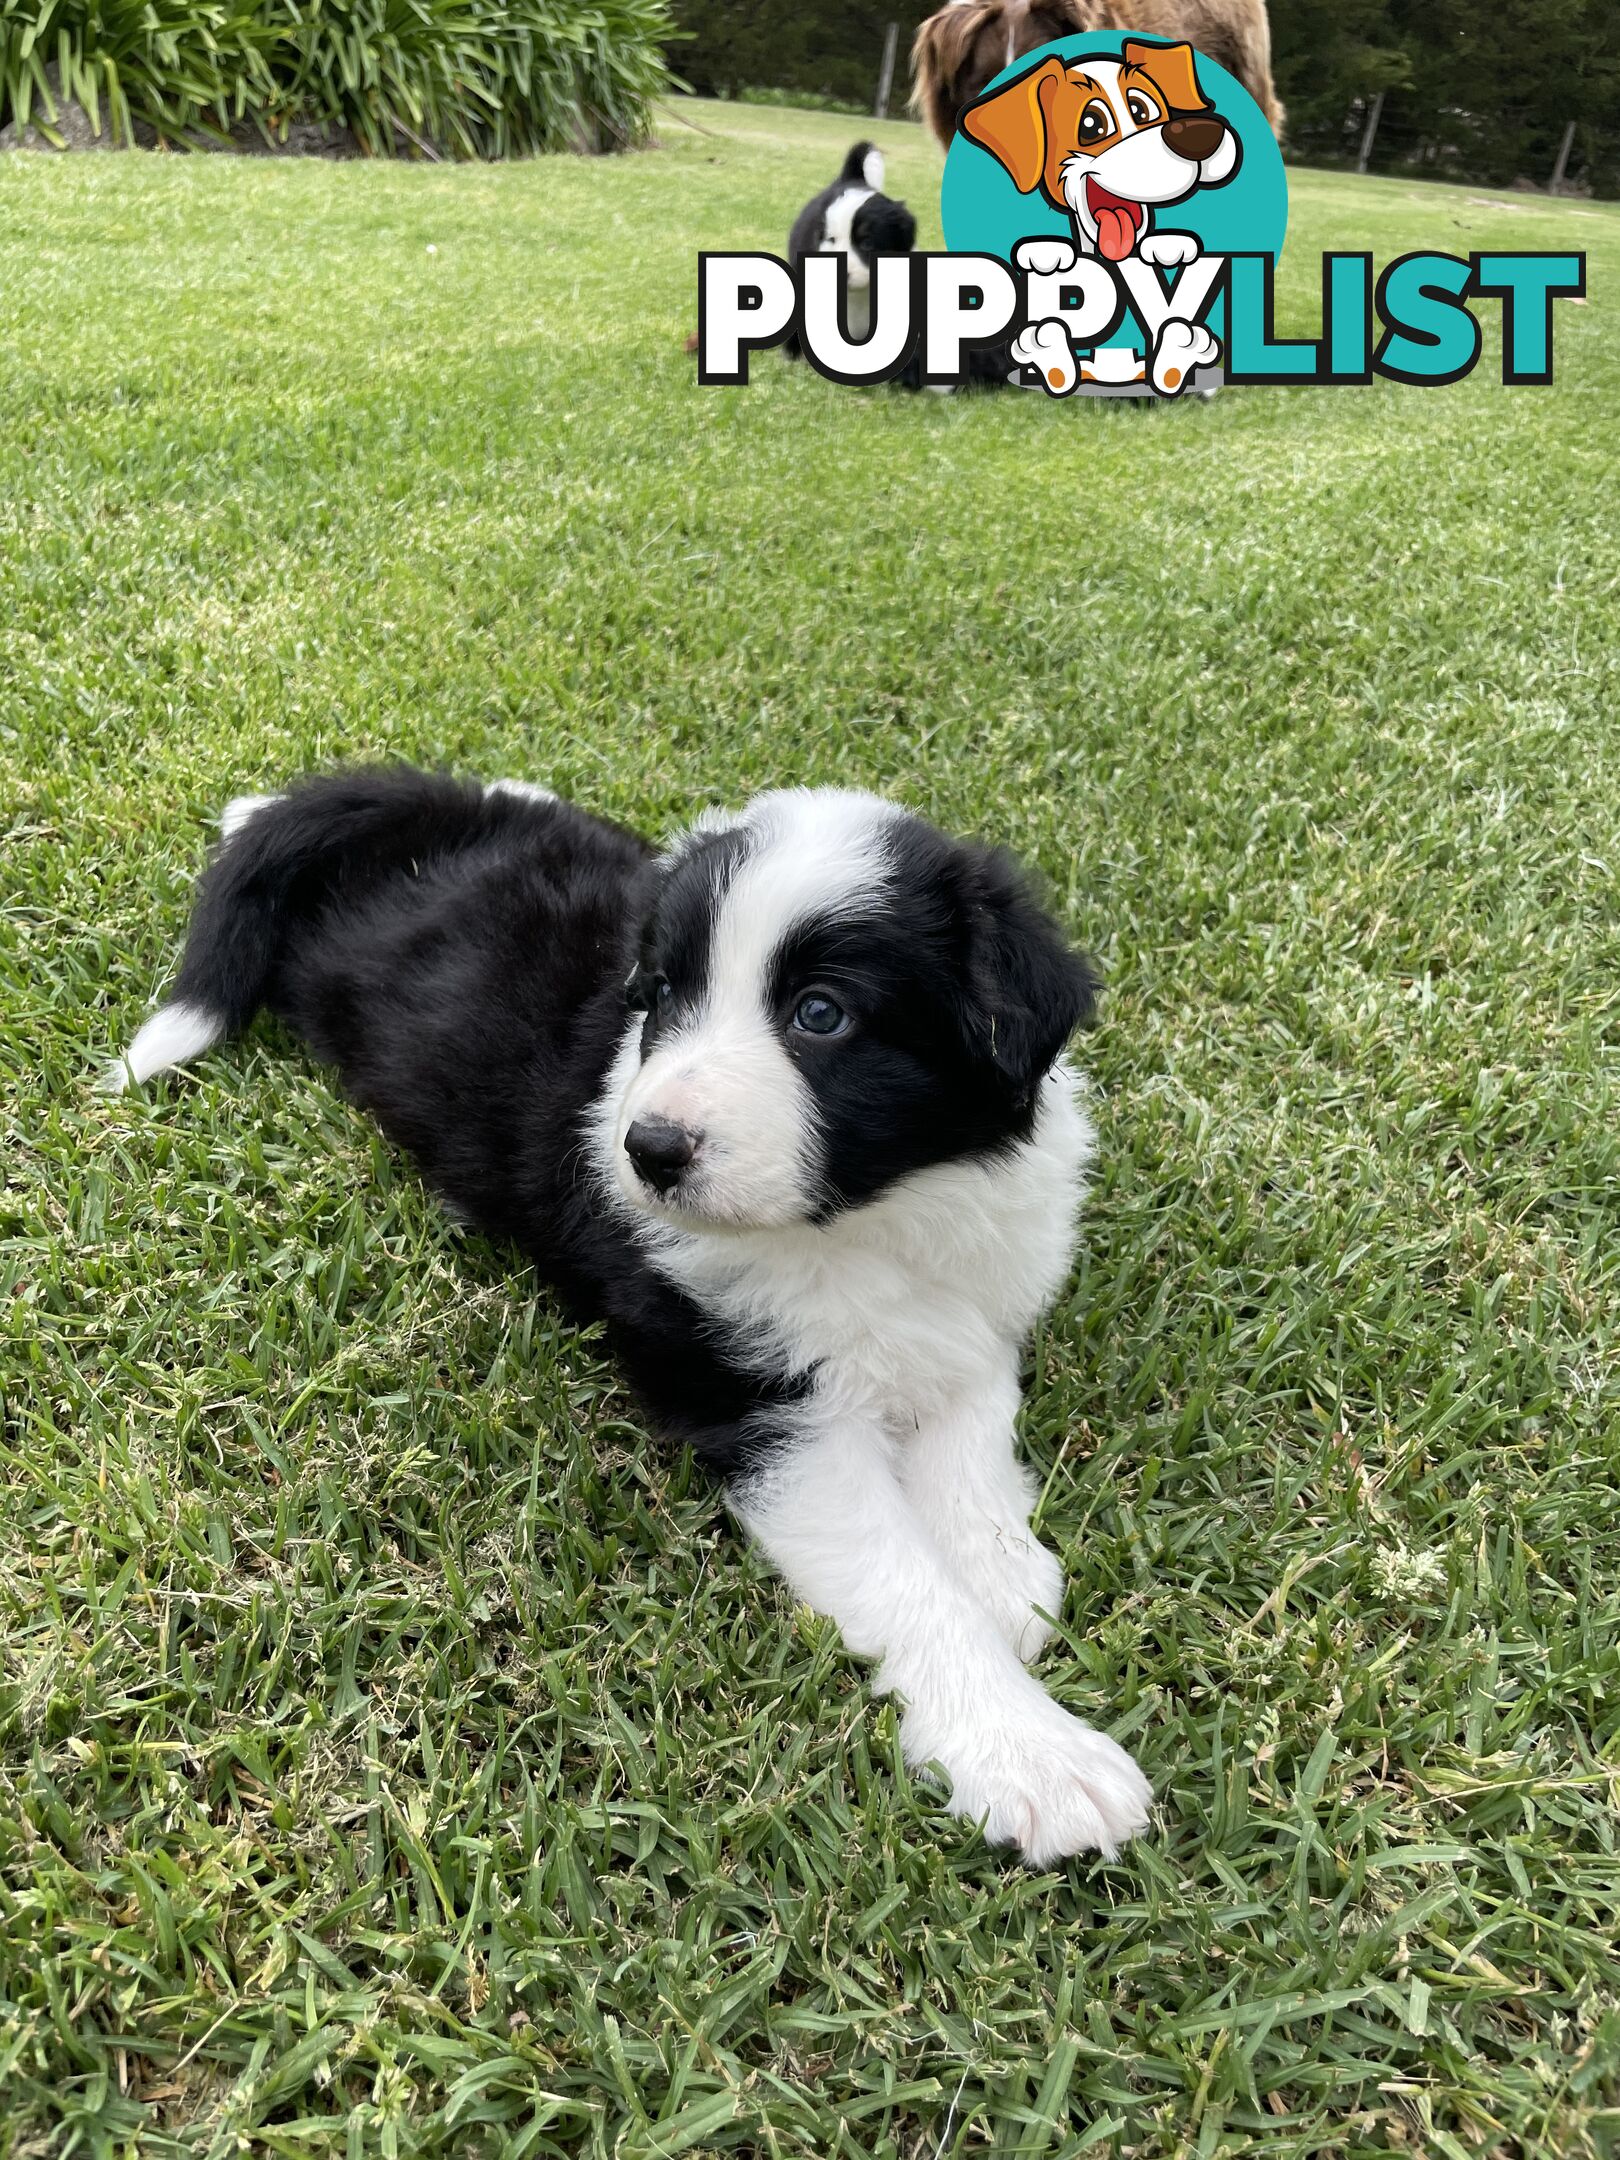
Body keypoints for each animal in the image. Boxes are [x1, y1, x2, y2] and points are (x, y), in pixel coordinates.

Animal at [111, 768, 1157, 1866]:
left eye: (821, 1015)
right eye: (656, 999)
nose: (646, 1151)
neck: (875, 1214)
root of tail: (419, 813)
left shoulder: (983, 1289)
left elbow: (973, 1421)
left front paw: (1001, 1572)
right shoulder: (762, 1406)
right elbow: (905, 1580)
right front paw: (1032, 1755)